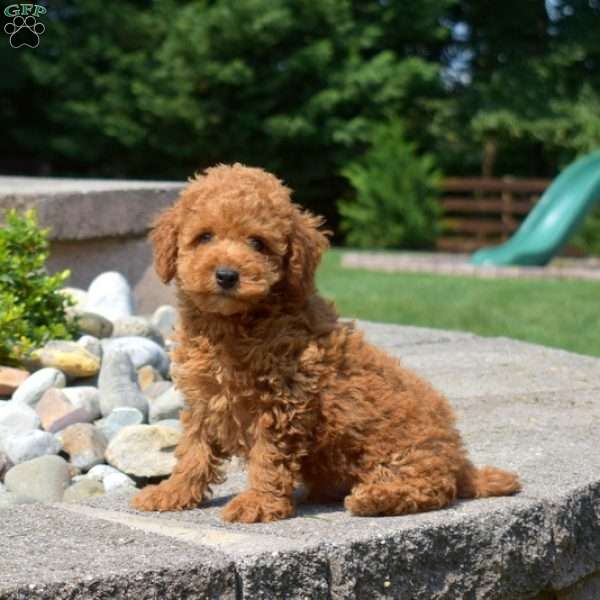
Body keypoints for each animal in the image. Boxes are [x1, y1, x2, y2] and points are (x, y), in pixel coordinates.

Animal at [132, 163, 520, 520]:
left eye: (257, 243)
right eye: (205, 237)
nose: (227, 275)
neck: (234, 324)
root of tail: (460, 459)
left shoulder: (282, 400)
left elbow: (267, 457)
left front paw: (257, 502)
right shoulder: (205, 399)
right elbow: (193, 450)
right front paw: (173, 492)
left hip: (405, 450)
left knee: (434, 487)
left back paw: (373, 498)